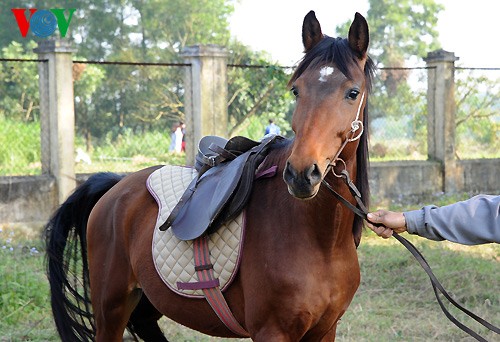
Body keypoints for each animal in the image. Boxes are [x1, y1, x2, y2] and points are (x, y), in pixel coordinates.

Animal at [46, 11, 376, 342]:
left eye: (353, 93)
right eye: (297, 90)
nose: (300, 174)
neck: (322, 241)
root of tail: (115, 186)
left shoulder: (325, 329)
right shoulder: (271, 331)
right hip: (110, 309)